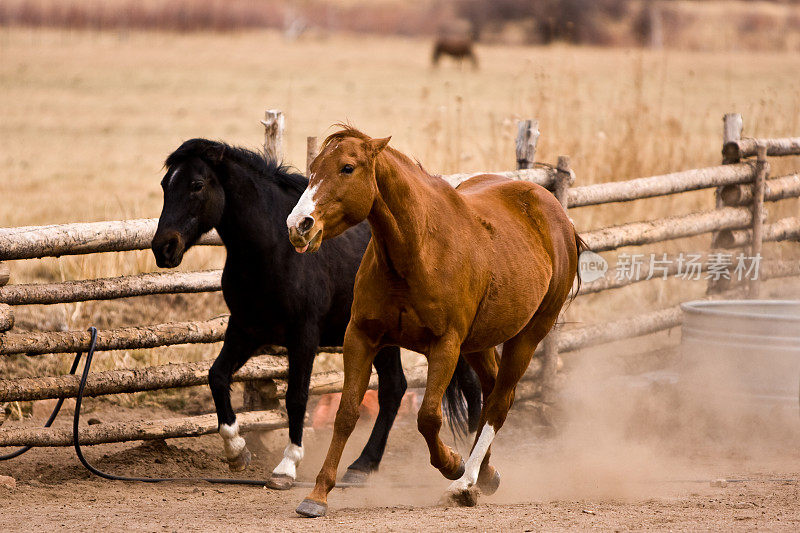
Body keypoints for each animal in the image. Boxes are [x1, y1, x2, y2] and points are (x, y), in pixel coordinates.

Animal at [150, 139, 478, 488]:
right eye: (165, 184)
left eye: (197, 185)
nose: (163, 247)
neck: (273, 252)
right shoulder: (246, 330)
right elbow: (217, 376)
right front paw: (236, 452)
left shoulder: (304, 336)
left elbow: (296, 397)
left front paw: (287, 466)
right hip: (383, 338)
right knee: (396, 388)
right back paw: (363, 465)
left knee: (463, 385)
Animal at [288, 125, 580, 516]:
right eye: (314, 167)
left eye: (347, 168)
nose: (299, 225)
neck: (418, 250)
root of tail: (556, 214)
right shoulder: (361, 337)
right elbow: (346, 412)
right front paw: (317, 494)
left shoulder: (445, 345)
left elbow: (428, 417)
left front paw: (453, 464)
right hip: (478, 343)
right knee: (489, 392)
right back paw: (487, 474)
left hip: (528, 336)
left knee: (499, 403)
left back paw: (465, 482)